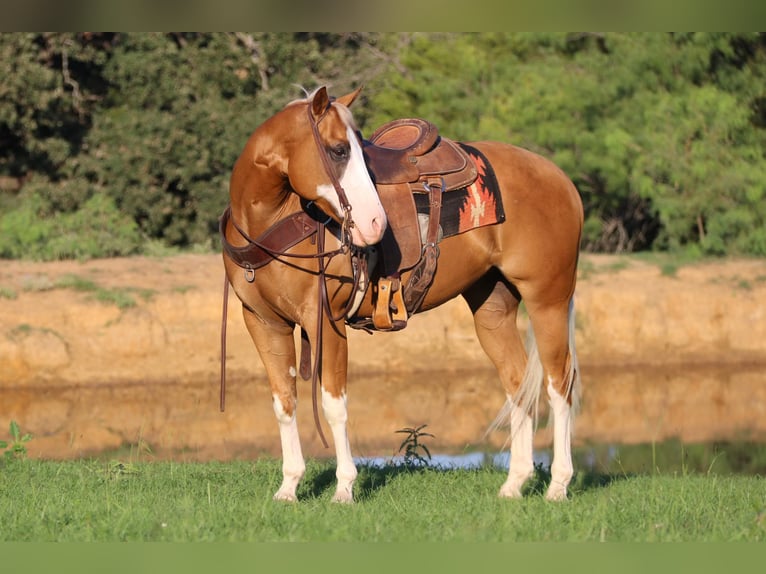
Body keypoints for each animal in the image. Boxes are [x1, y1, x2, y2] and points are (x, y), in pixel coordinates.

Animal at [220, 85, 584, 504]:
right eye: (338, 150)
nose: (375, 222)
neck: (272, 221)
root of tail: (562, 180)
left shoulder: (326, 323)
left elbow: (334, 405)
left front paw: (344, 488)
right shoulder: (264, 323)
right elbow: (284, 402)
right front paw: (289, 486)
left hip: (548, 301)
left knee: (559, 386)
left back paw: (558, 485)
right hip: (493, 308)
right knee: (518, 384)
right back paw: (514, 484)